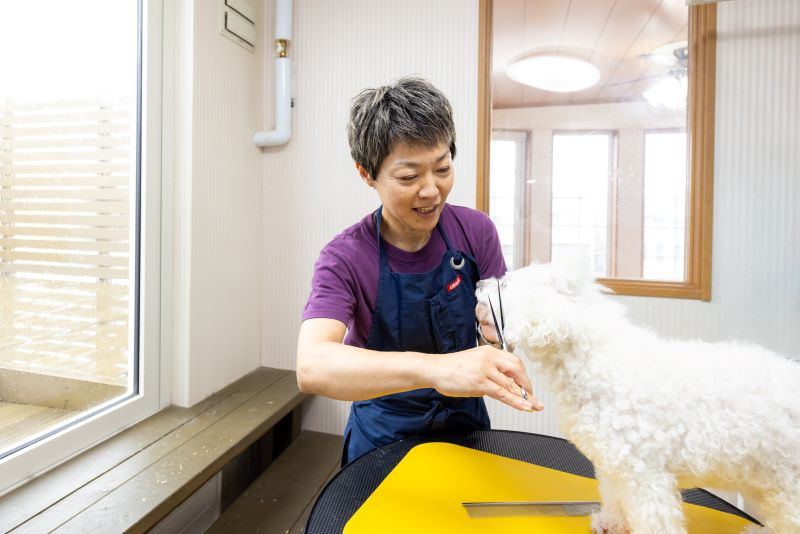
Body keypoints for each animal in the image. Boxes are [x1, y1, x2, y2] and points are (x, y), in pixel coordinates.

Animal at [478, 264, 796, 534]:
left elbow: (655, 520)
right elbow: (615, 498)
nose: (480, 284)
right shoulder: (614, 466)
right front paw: (611, 523)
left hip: (786, 479)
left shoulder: (647, 475)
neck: (595, 363)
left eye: (504, 283)